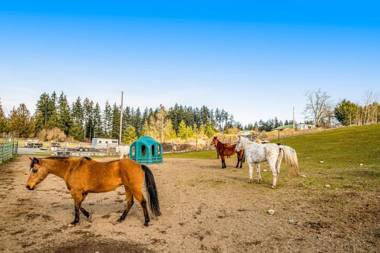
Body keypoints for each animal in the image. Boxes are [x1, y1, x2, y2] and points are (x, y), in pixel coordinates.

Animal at [24, 157, 159, 226]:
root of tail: (139, 165)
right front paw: (88, 215)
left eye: (35, 170)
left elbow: (76, 206)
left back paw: (146, 221)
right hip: (128, 188)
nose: (28, 186)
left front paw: (76, 221)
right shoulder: (83, 192)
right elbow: (79, 205)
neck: (71, 168)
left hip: (134, 188)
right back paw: (120, 219)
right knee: (130, 203)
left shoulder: (76, 192)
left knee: (142, 202)